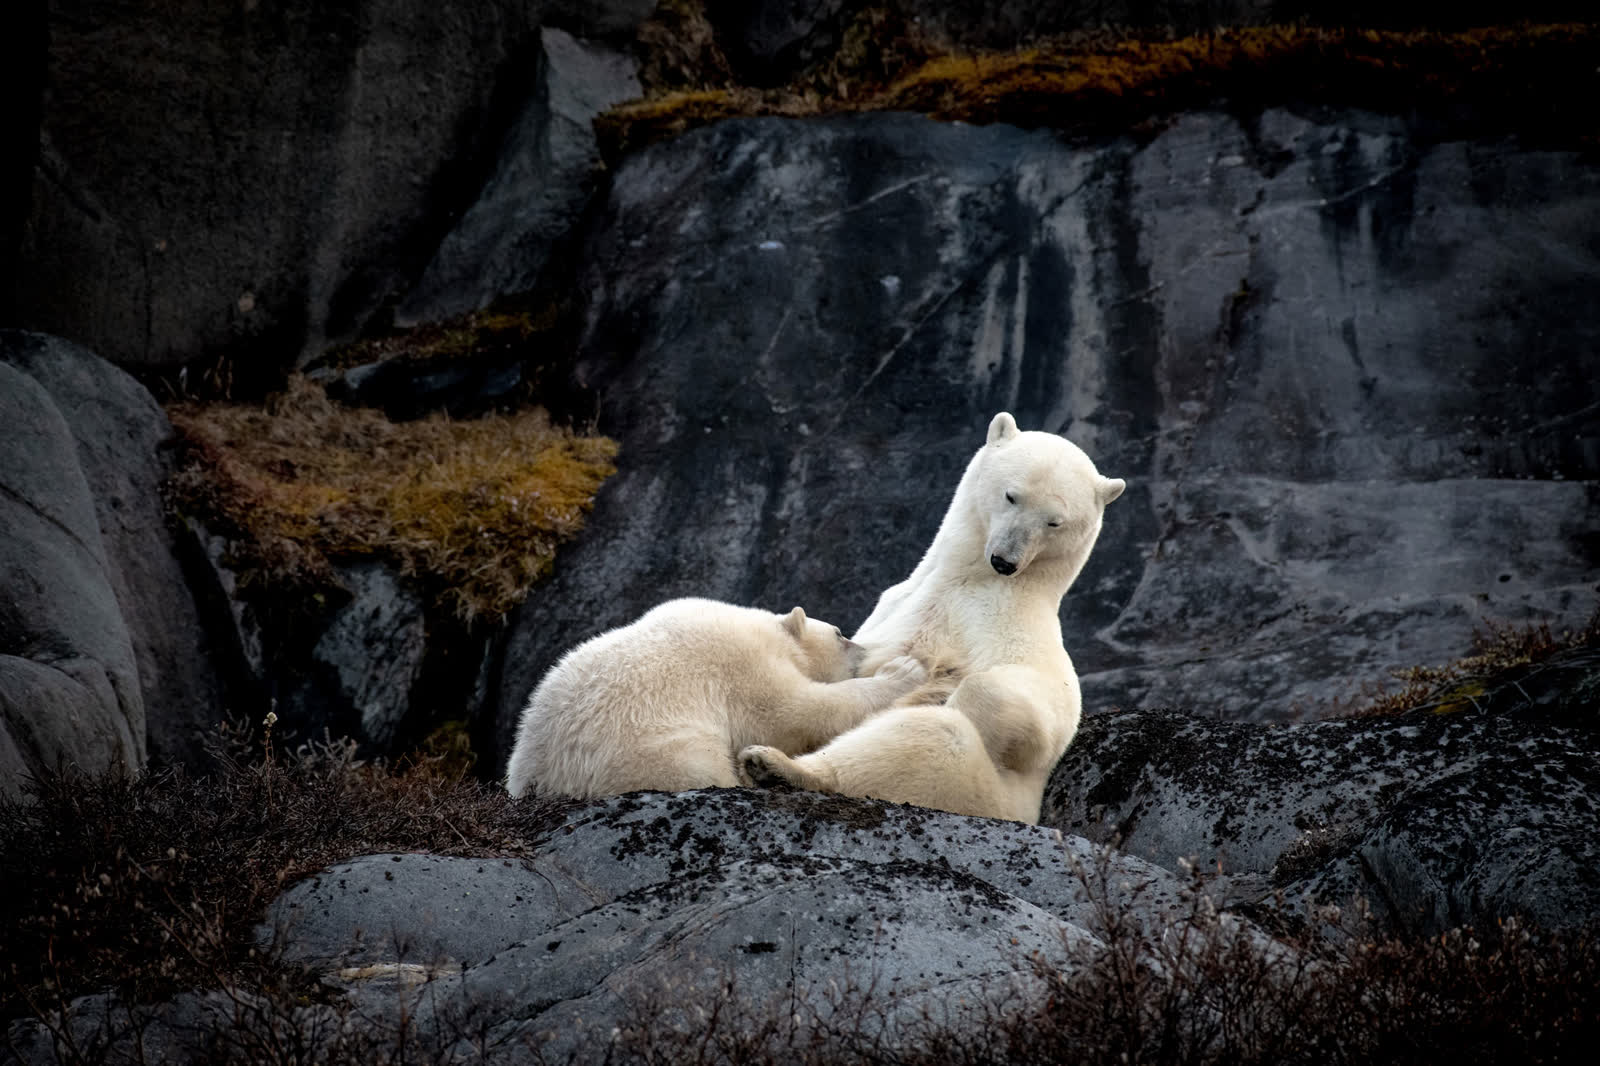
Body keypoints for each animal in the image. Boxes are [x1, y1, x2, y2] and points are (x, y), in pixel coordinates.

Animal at [503, 598, 928, 799]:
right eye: (841, 634)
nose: (866, 650)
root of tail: (539, 778)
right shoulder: (742, 662)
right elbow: (790, 712)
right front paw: (904, 671)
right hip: (646, 749)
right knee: (698, 765)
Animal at [740, 412, 1124, 823]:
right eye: (1011, 495)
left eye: (1055, 522)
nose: (1005, 561)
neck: (966, 582)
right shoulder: (893, 606)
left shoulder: (1016, 632)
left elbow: (1041, 720)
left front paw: (948, 694)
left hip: (983, 792)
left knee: (934, 735)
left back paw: (780, 766)